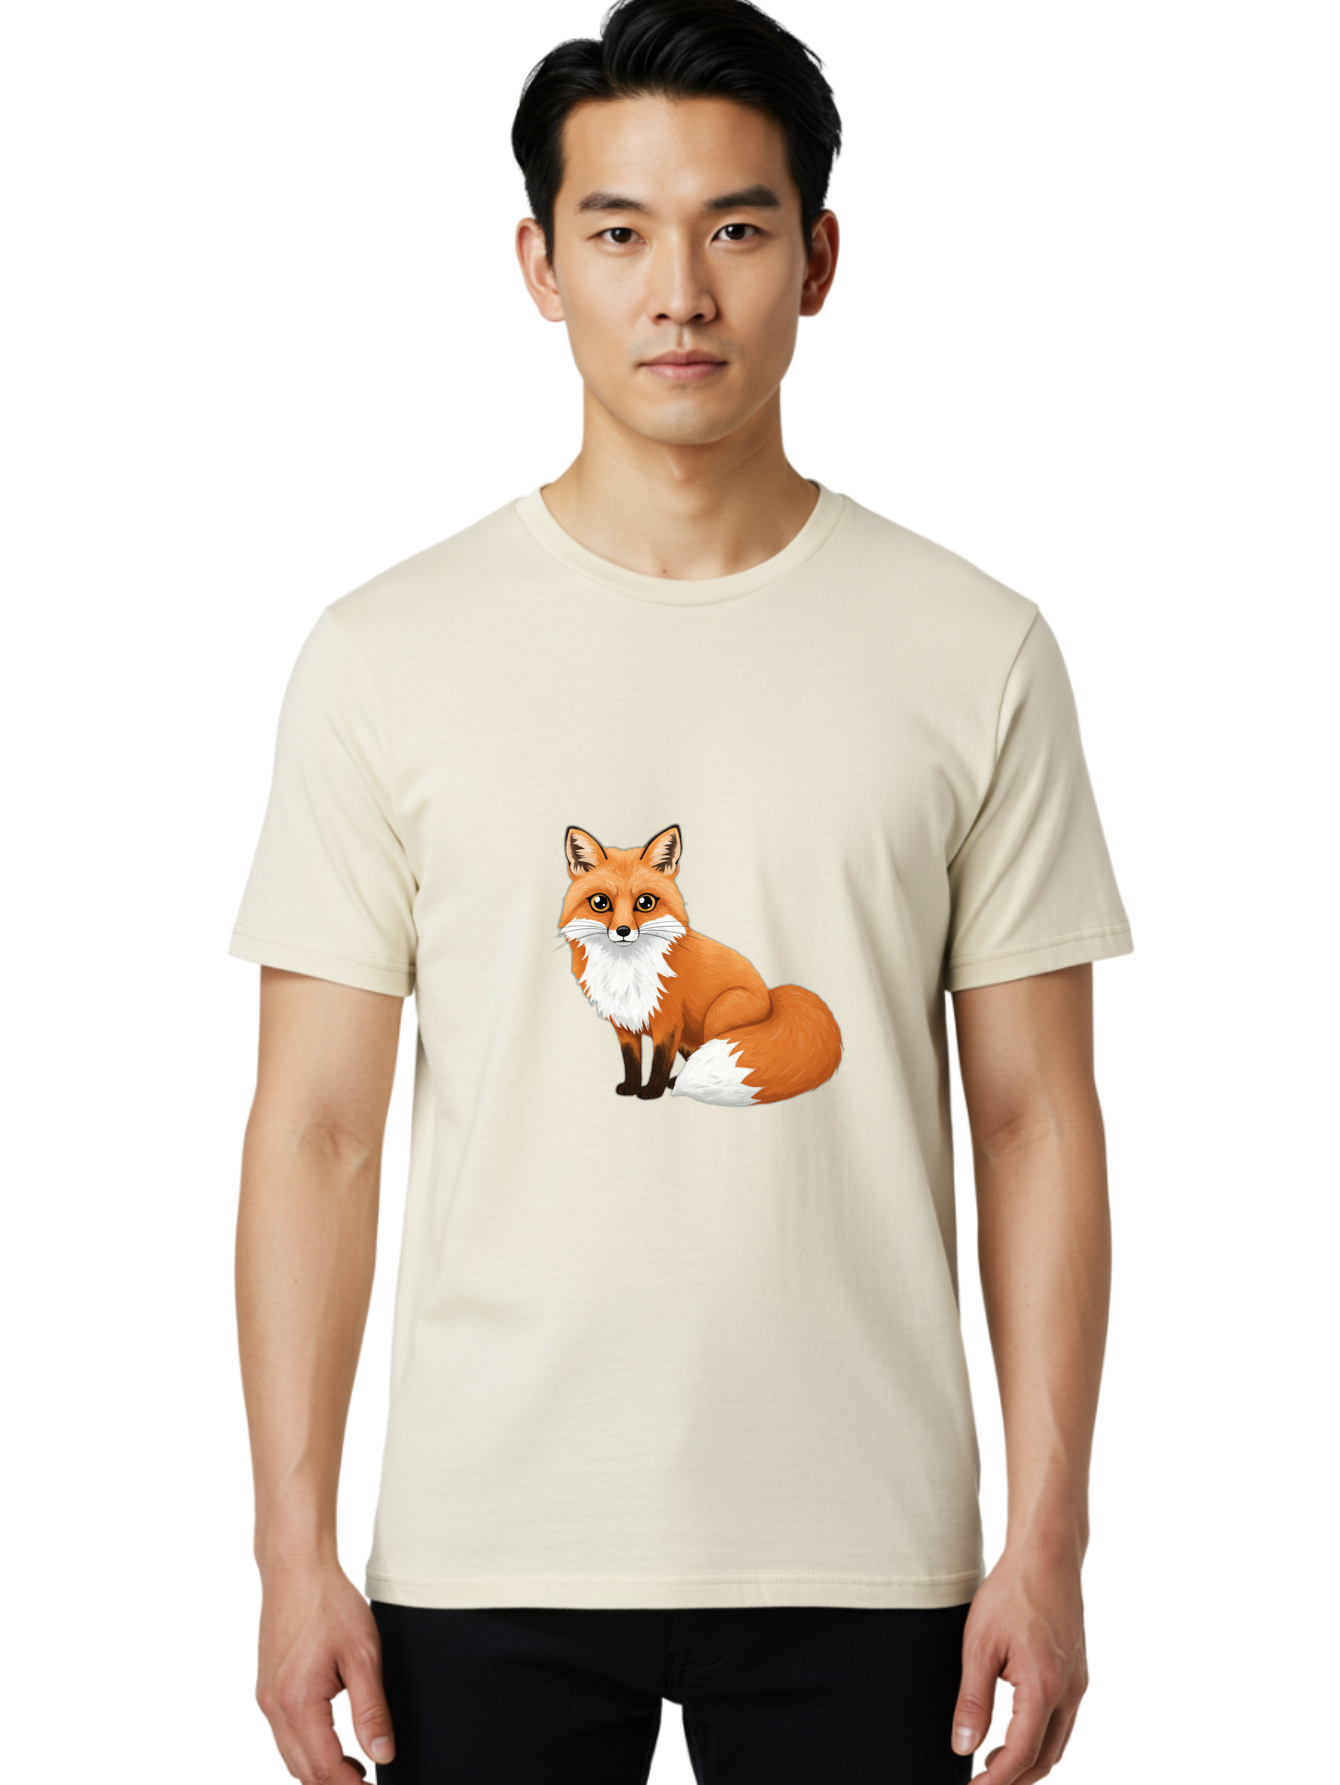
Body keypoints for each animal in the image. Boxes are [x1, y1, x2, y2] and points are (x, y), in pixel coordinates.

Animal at [558, 823, 842, 1106]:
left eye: (645, 903)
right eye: (600, 903)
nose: (623, 931)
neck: (625, 971)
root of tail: (771, 995)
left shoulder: (669, 1021)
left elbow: (660, 1061)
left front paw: (653, 1090)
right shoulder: (623, 1023)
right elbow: (632, 1060)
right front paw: (631, 1086)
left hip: (717, 1017)